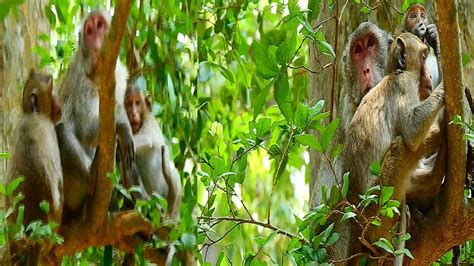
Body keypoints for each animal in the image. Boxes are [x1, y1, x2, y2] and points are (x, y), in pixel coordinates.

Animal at [8, 70, 64, 264]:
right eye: (52, 88)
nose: (59, 100)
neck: (32, 114)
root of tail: (33, 237)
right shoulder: (48, 130)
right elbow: (59, 187)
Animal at [55, 10, 134, 218]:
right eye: (89, 31)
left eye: (100, 26)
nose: (97, 45)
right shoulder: (83, 82)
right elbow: (86, 130)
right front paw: (123, 126)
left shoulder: (118, 74)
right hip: (69, 191)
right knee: (59, 130)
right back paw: (90, 180)